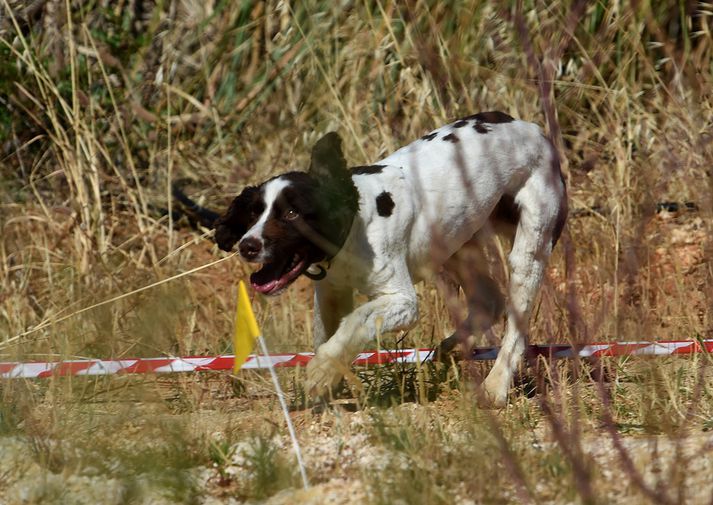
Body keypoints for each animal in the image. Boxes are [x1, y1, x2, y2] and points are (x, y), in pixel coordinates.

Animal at [213, 111, 567, 407]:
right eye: (254, 212)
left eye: (291, 214)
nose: (247, 245)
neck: (353, 225)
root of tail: (530, 128)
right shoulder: (331, 291)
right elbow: (327, 333)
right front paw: (330, 380)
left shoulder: (402, 302)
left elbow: (356, 321)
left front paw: (320, 373)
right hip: (455, 241)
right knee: (488, 299)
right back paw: (451, 347)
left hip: (529, 246)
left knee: (515, 323)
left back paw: (495, 387)